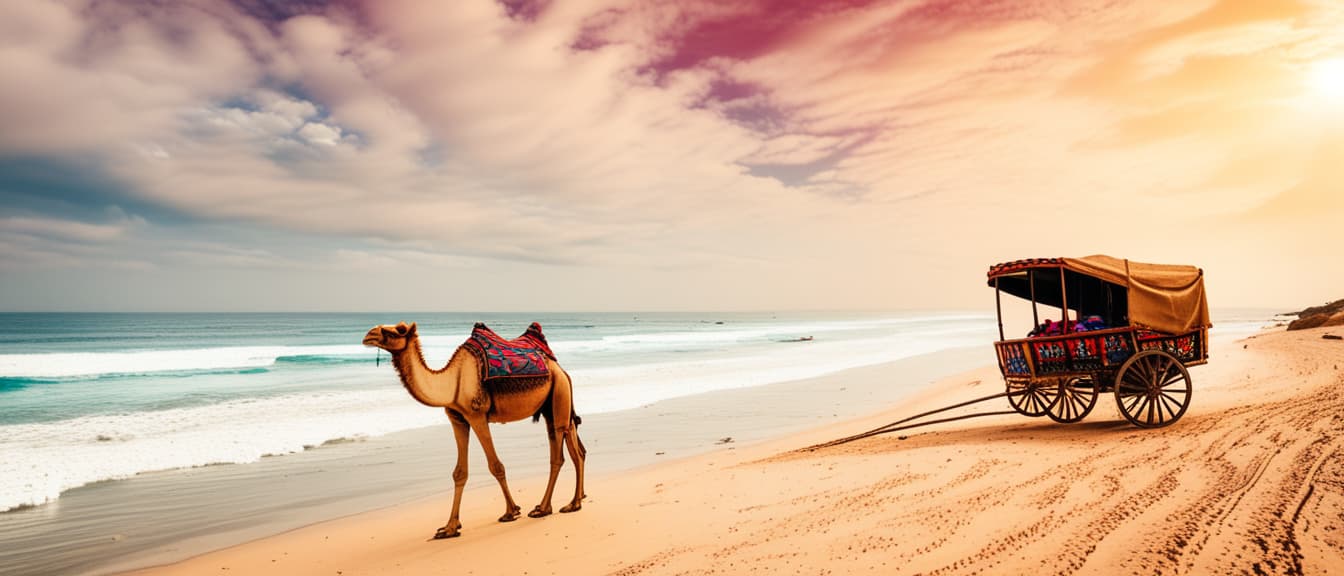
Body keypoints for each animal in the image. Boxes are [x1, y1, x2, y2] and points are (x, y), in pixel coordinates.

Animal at [362, 320, 583, 537]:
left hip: (559, 390)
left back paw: (554, 507)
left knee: (562, 453)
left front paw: (511, 512)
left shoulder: (476, 415)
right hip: (552, 404)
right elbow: (460, 473)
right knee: (571, 448)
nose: (369, 334)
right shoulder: (457, 419)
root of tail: (559, 368)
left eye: (398, 330)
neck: (453, 383)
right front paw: (450, 528)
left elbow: (496, 466)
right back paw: (564, 505)